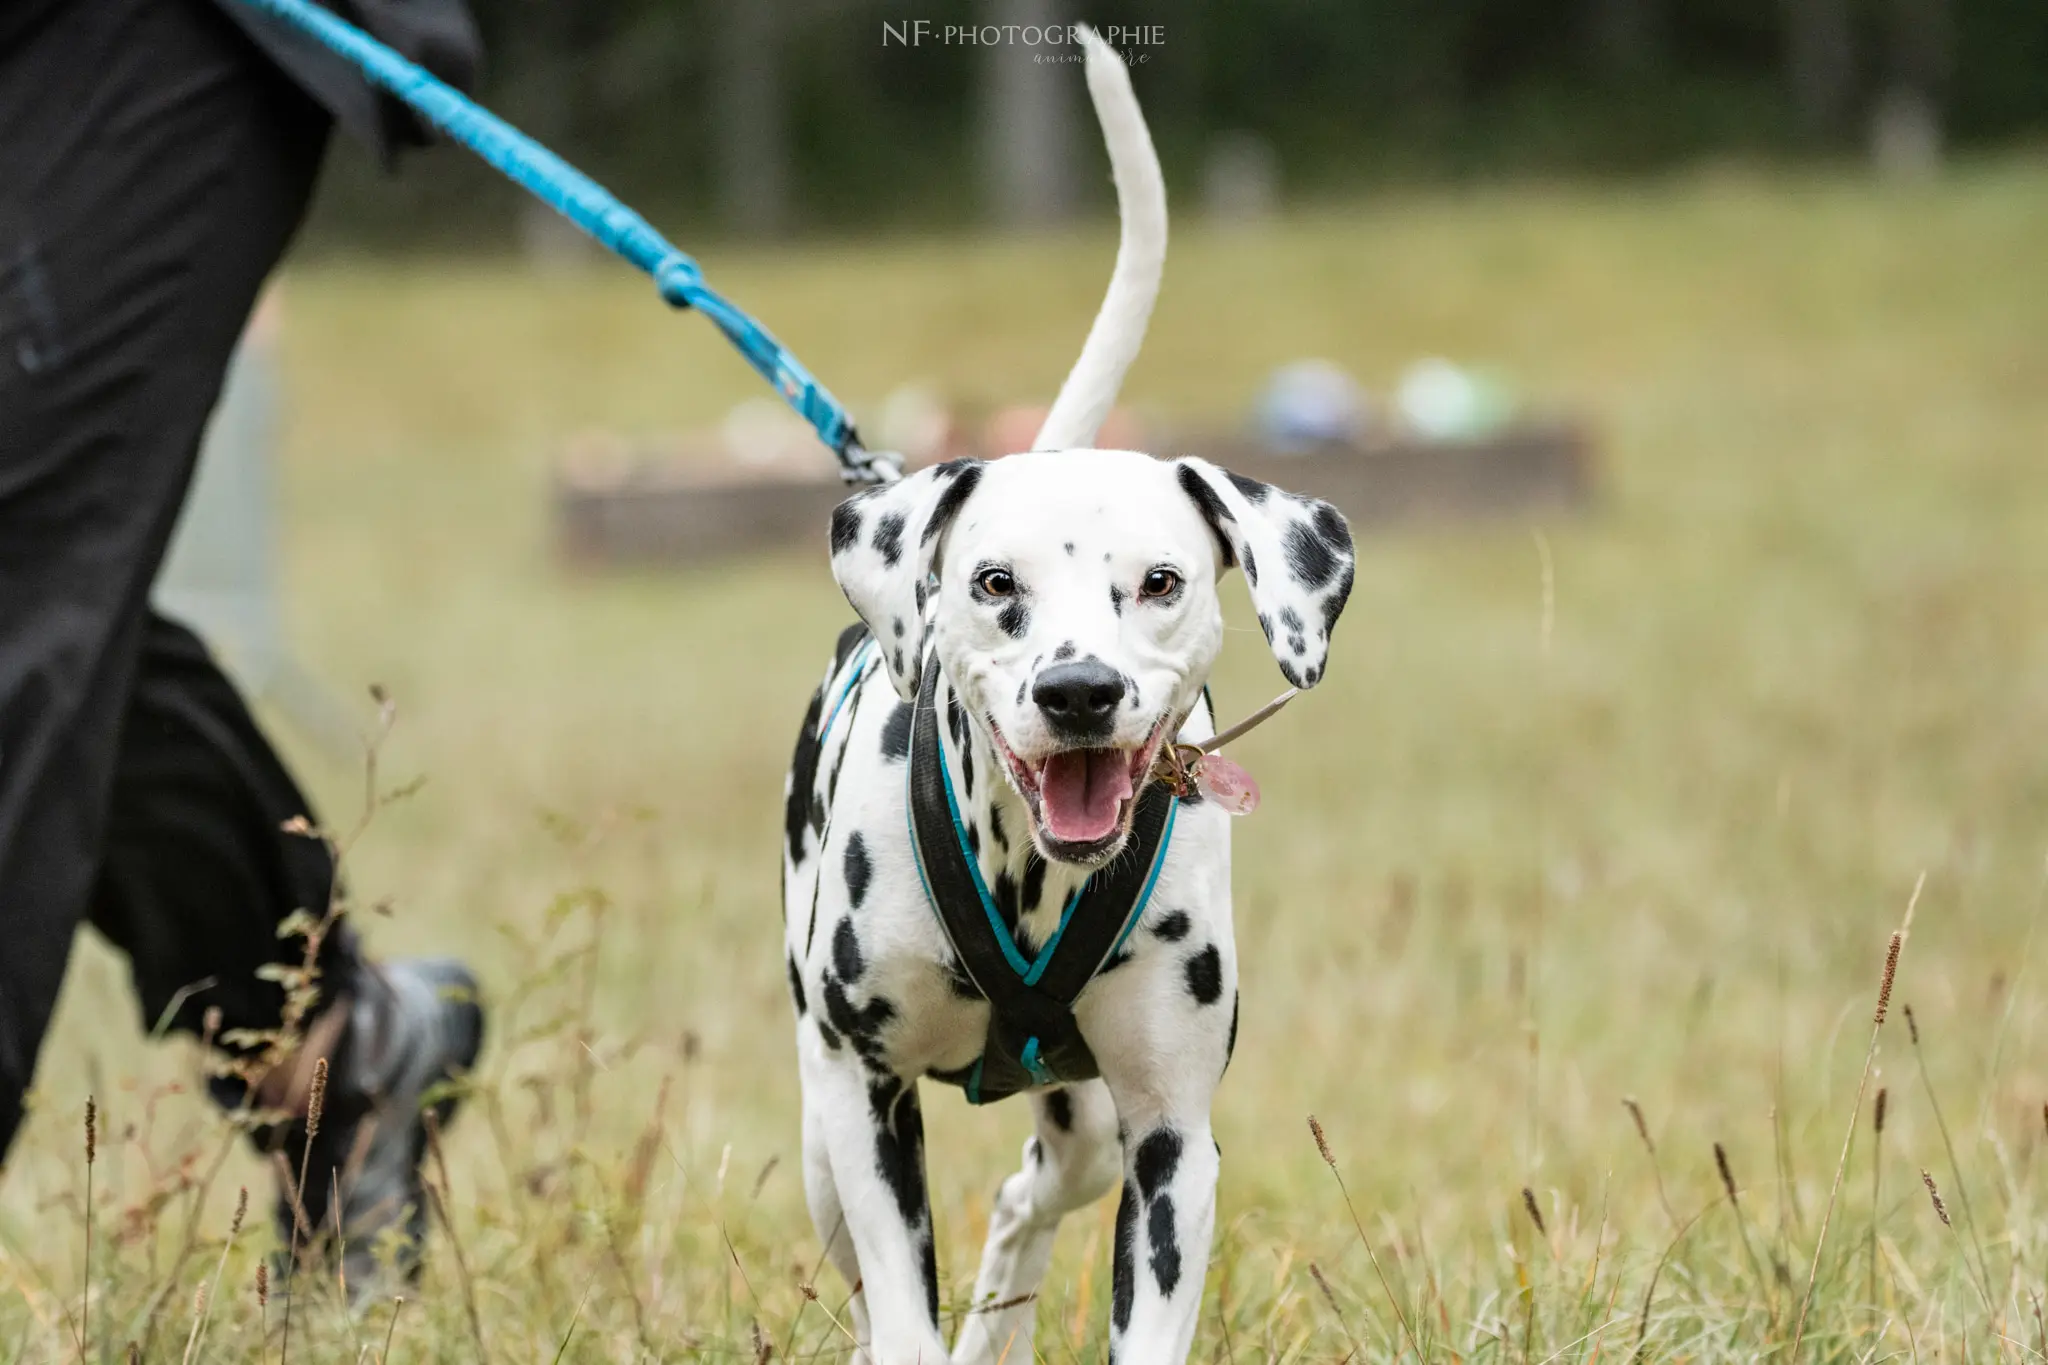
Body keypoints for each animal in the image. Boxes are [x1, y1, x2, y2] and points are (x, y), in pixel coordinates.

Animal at [774, 24, 1351, 1365]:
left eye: (1158, 582)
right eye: (994, 584)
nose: (1080, 692)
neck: (1024, 878)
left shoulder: (1167, 1140)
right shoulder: (863, 1101)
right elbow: (898, 1309)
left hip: (1086, 1128)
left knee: (1026, 1195)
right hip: (822, 1131)